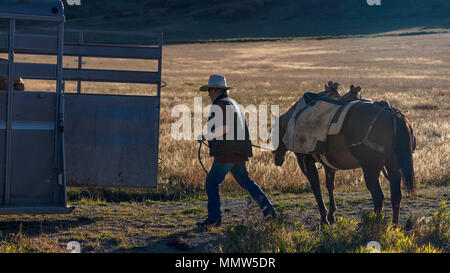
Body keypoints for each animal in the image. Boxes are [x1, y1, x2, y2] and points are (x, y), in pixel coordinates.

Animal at [270, 81, 414, 225]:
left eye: (272, 131)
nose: (276, 157)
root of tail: (390, 112)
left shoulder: (305, 161)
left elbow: (316, 188)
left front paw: (324, 219)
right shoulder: (328, 164)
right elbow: (330, 186)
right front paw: (331, 214)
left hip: (370, 168)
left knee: (378, 197)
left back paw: (374, 224)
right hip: (392, 164)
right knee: (396, 196)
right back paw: (394, 225)